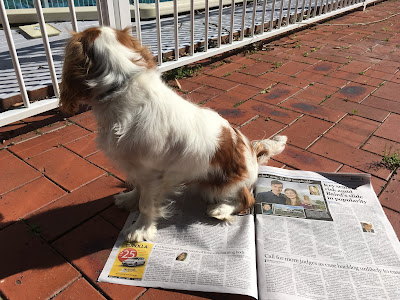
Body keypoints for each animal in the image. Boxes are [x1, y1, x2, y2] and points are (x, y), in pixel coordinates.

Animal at [60, 27, 288, 243]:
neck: (122, 82)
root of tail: (251, 153)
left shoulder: (152, 173)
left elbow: (146, 204)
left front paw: (141, 229)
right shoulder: (137, 168)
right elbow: (137, 189)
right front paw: (129, 199)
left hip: (221, 187)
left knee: (246, 201)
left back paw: (220, 209)